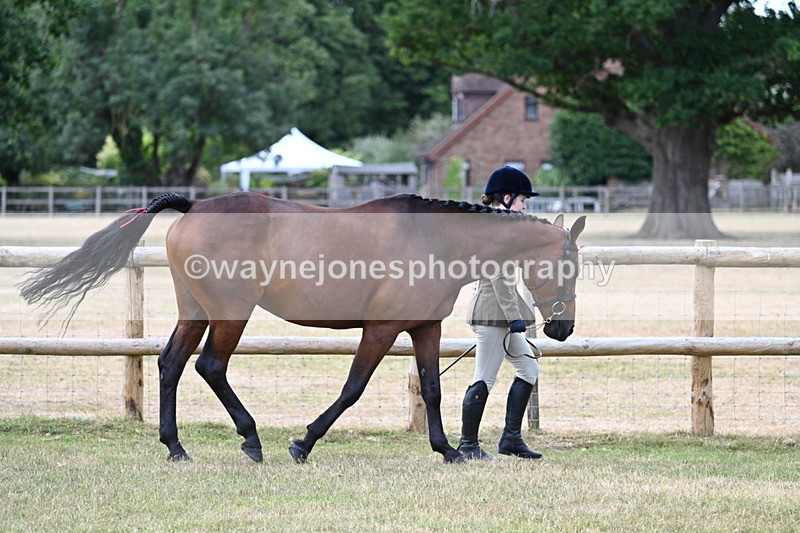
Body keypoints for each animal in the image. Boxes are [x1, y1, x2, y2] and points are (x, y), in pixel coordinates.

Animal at [20, 192, 585, 464]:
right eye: (568, 266)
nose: (561, 330)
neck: (433, 239)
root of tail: (194, 205)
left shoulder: (423, 328)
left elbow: (431, 388)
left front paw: (447, 451)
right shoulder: (380, 330)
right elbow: (353, 388)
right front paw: (304, 442)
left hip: (195, 310)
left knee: (171, 364)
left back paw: (176, 447)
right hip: (231, 313)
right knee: (210, 366)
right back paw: (251, 439)